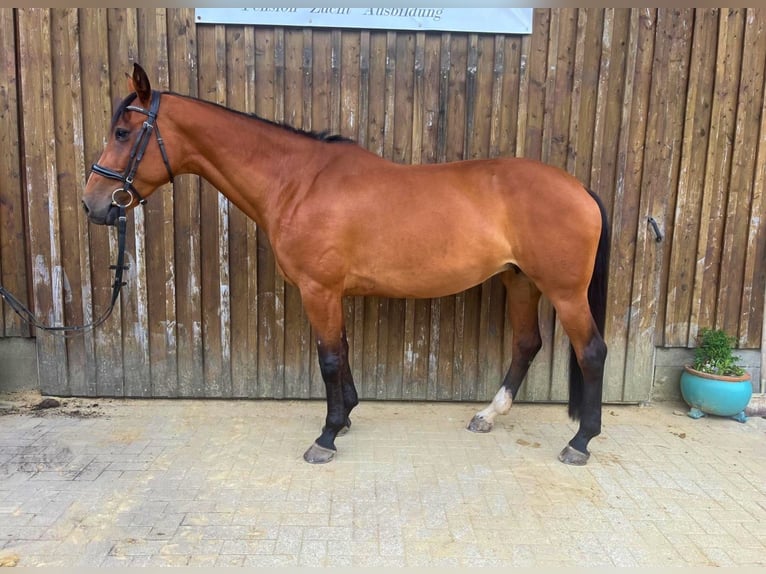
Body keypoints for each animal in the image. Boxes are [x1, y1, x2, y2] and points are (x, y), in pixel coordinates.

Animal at [82, 63, 610, 466]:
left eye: (123, 132)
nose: (94, 204)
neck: (298, 182)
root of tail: (579, 188)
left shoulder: (319, 289)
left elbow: (330, 357)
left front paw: (327, 435)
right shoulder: (332, 292)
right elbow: (343, 351)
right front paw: (348, 415)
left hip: (564, 292)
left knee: (592, 352)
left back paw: (581, 442)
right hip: (521, 282)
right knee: (526, 344)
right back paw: (488, 415)